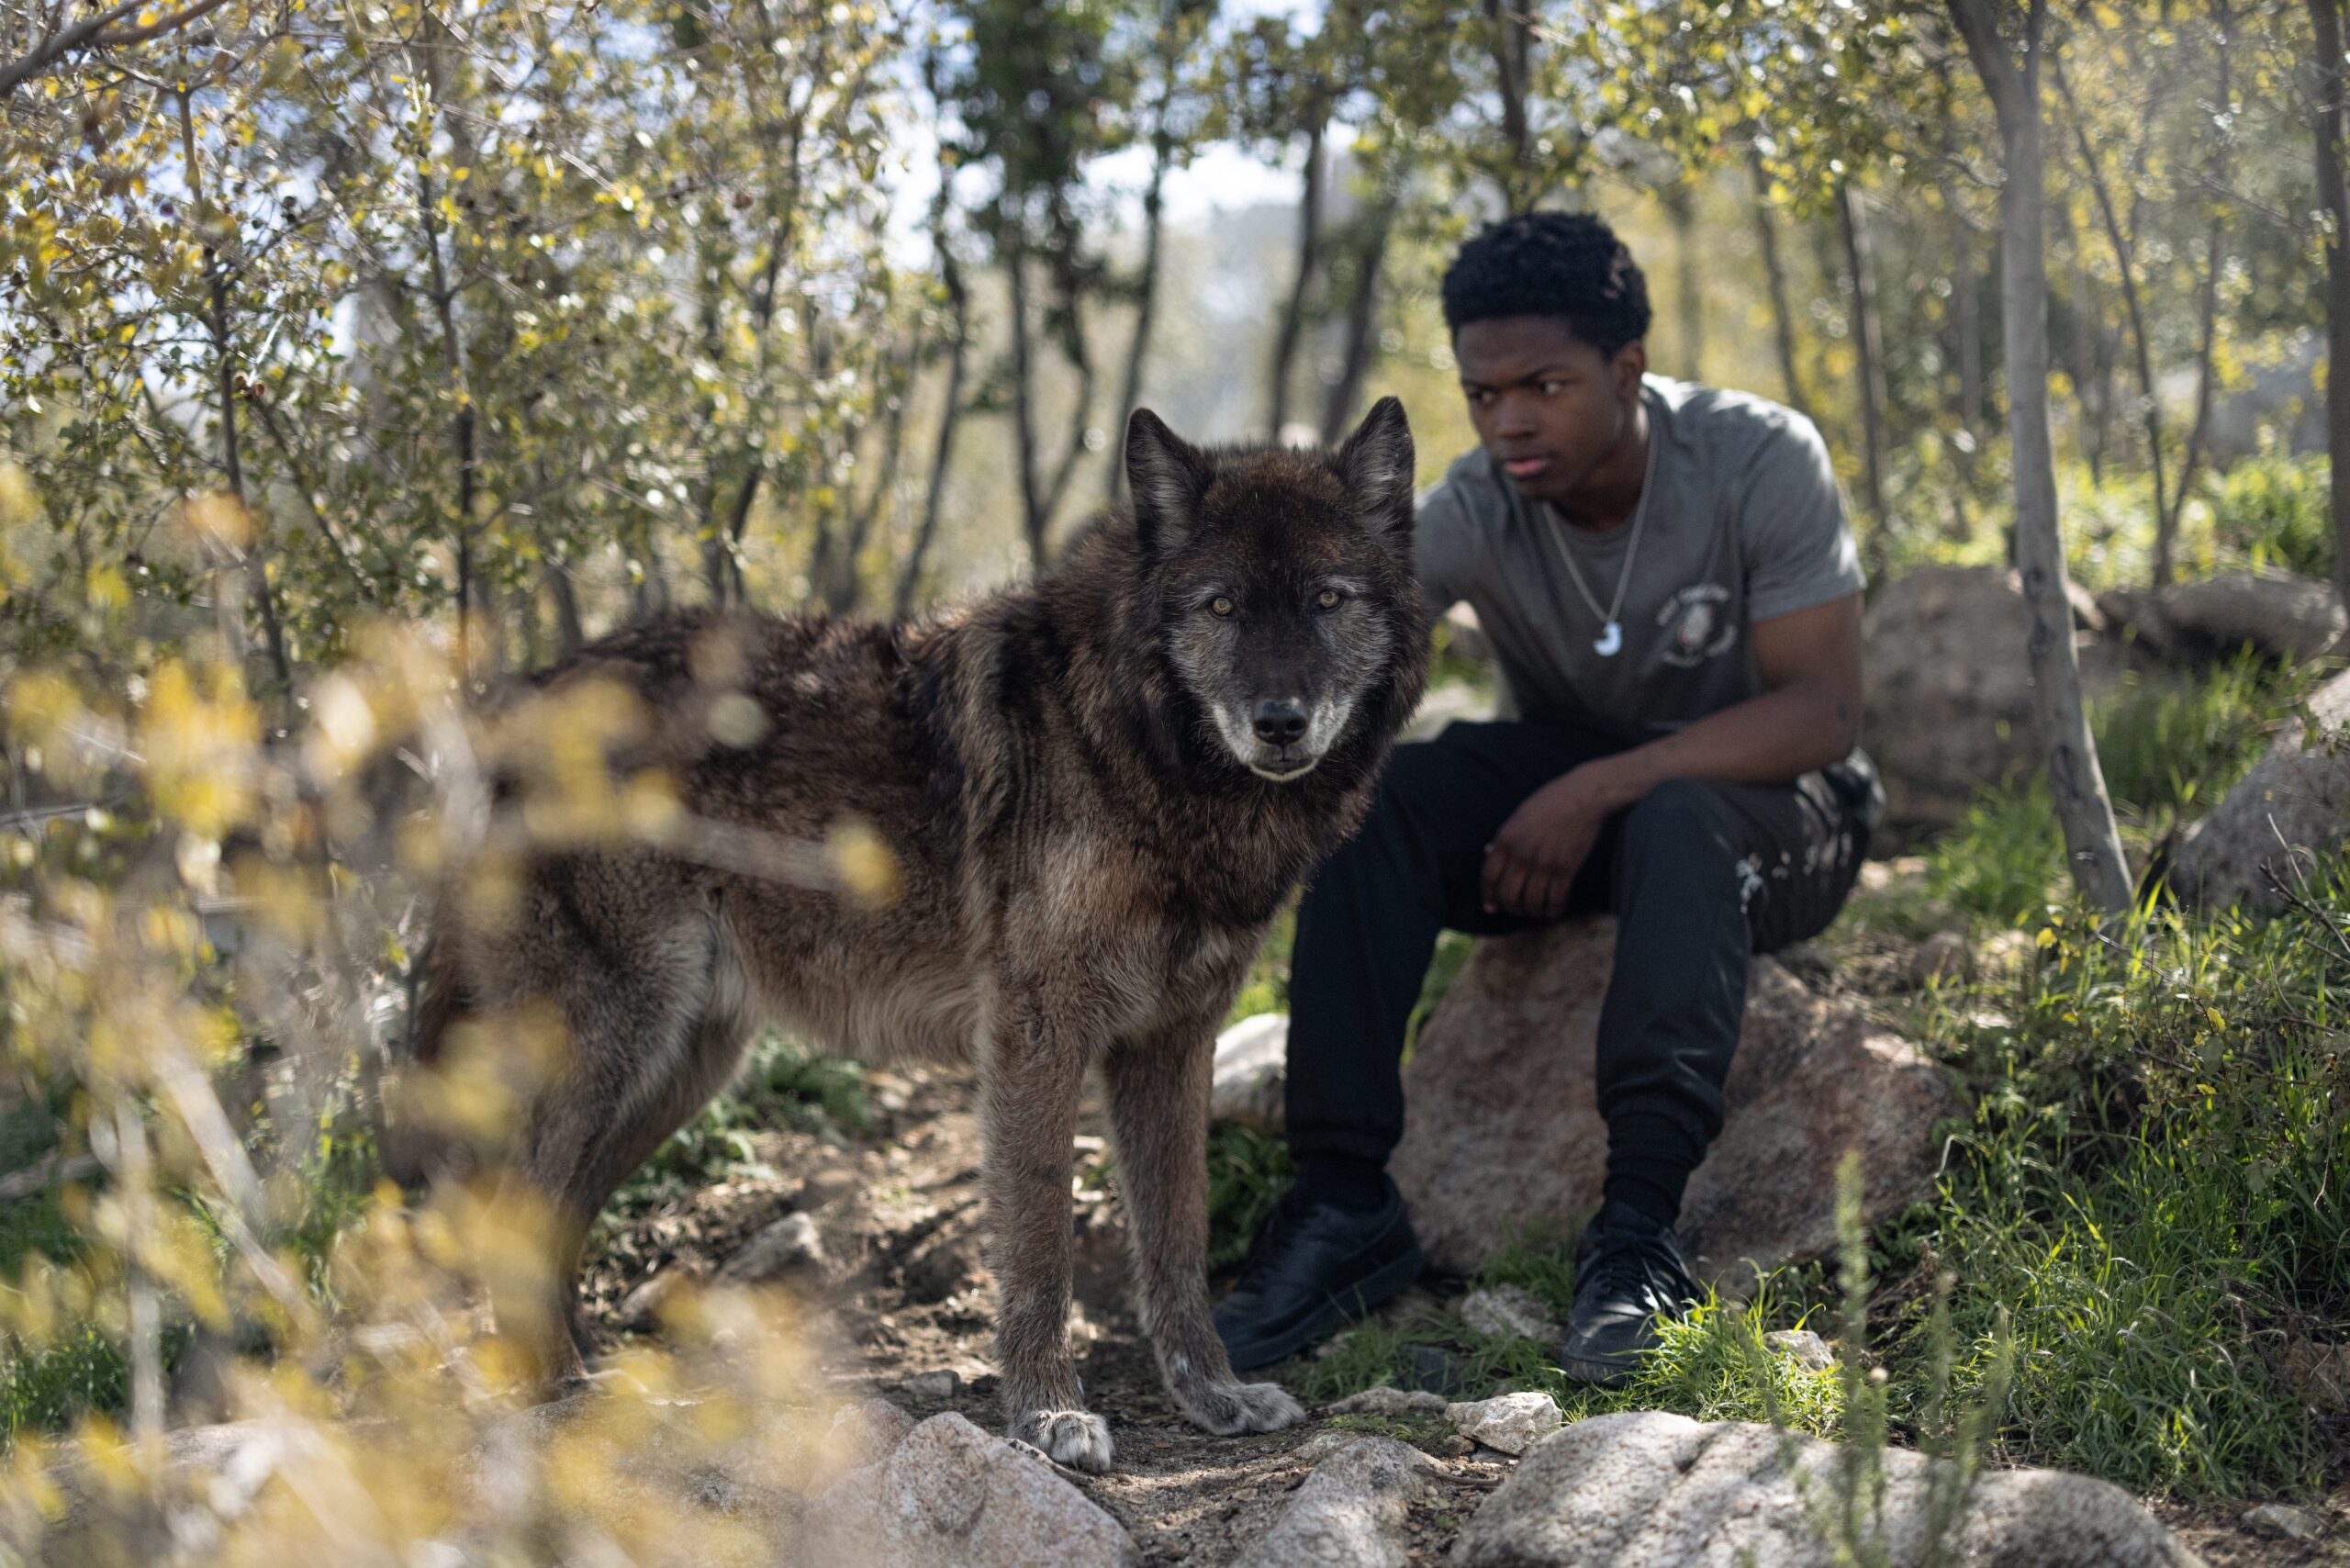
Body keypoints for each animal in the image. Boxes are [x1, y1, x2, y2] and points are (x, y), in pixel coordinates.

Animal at [391, 399, 1428, 1472]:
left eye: (1327, 599)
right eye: (1221, 607)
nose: (1278, 723)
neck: (1140, 758)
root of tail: (511, 702)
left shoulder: (1172, 1045)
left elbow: (1178, 1237)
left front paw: (1212, 1396)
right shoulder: (1036, 1035)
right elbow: (1040, 1242)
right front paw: (1047, 1415)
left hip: (682, 1068)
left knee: (548, 1214)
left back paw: (585, 1379)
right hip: (617, 1043)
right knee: (509, 1206)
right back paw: (552, 1389)